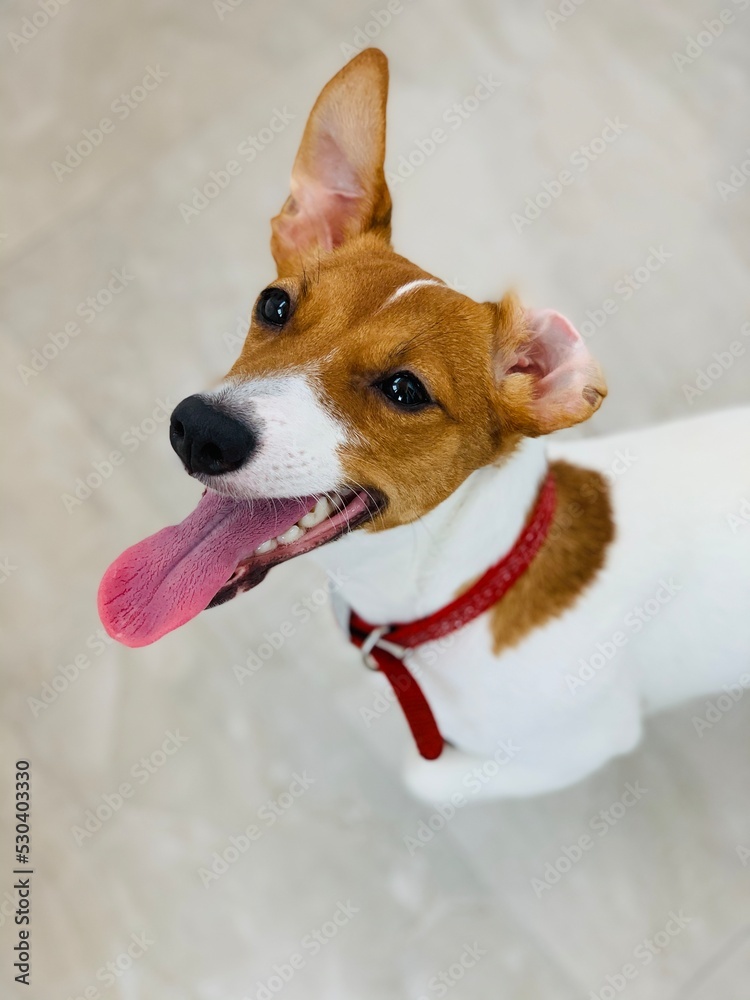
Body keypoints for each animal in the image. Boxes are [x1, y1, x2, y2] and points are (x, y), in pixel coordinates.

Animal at [98, 48, 750, 804]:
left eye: (405, 390)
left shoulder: (580, 742)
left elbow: (424, 776)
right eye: (274, 305)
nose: (200, 429)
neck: (476, 582)